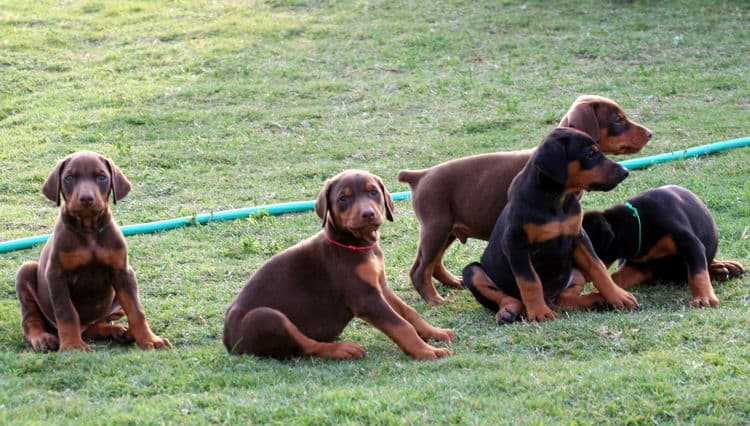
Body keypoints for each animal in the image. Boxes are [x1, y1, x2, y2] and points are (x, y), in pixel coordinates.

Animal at [15, 151, 171, 352]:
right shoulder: (56, 275)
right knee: (31, 320)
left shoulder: (123, 272)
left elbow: (137, 310)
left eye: (102, 177)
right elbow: (66, 312)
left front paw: (150, 339)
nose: (86, 198)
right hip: (26, 271)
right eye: (69, 178)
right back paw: (43, 338)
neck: (89, 232)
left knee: (96, 326)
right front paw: (72, 345)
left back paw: (121, 332)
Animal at [223, 170, 456, 360]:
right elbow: (401, 325)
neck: (357, 244)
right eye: (343, 198)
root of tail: (227, 341)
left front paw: (435, 332)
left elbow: (408, 312)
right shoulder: (365, 298)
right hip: (267, 318)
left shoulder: (379, 286)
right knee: (307, 346)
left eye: (373, 193)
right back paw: (344, 349)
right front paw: (427, 351)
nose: (368, 213)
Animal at [400, 95, 652, 304]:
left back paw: (453, 282)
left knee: (434, 263)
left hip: (449, 230)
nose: (650, 133)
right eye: (618, 120)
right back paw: (434, 299)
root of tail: (420, 175)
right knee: (420, 269)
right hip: (436, 228)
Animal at [464, 128, 640, 324]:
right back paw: (509, 311)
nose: (625, 171)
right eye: (590, 154)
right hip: (471, 272)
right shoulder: (515, 244)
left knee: (564, 300)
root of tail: (549, 298)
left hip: (575, 273)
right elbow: (530, 281)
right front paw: (540, 312)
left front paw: (619, 296)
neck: (557, 199)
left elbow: (598, 268)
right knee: (508, 298)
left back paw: (595, 300)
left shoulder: (579, 236)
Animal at [580, 185, 748, 308]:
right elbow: (615, 278)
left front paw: (704, 298)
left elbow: (697, 273)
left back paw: (725, 267)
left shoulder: (690, 243)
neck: (637, 223)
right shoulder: (639, 265)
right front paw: (597, 295)